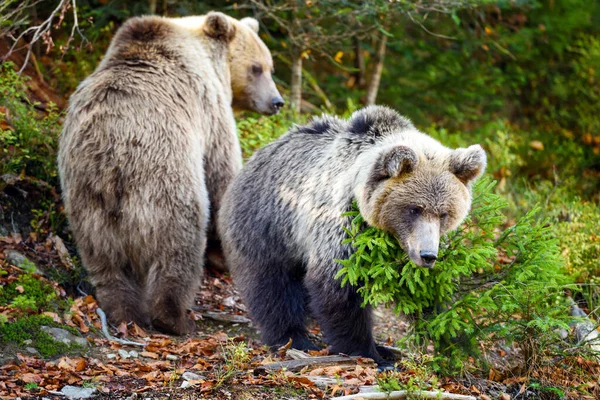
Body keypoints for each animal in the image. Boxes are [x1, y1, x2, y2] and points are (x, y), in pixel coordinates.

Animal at [57, 11, 282, 334]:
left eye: (269, 67)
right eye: (257, 68)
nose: (277, 102)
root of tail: (112, 156)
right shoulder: (210, 110)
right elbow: (221, 171)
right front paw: (224, 254)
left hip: (86, 198)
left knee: (104, 260)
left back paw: (123, 311)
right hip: (165, 181)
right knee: (178, 247)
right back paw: (173, 317)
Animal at [218, 107, 486, 368]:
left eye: (444, 213)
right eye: (414, 209)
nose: (427, 255)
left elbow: (427, 291)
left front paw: (452, 338)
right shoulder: (342, 229)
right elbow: (339, 288)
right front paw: (369, 353)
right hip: (268, 227)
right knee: (273, 286)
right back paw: (295, 339)